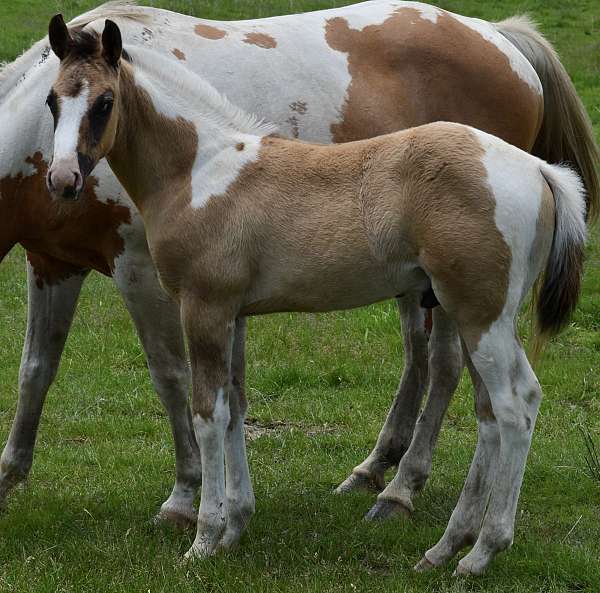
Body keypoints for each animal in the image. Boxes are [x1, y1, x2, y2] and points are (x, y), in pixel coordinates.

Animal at [0, 1, 596, 524]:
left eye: (104, 104)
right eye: (52, 103)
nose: (64, 181)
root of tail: (499, 35)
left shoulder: (144, 272)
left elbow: (174, 381)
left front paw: (186, 500)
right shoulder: (53, 263)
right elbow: (37, 369)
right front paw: (10, 474)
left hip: (460, 297)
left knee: (455, 370)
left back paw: (405, 495)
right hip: (423, 287)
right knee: (428, 364)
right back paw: (377, 474)